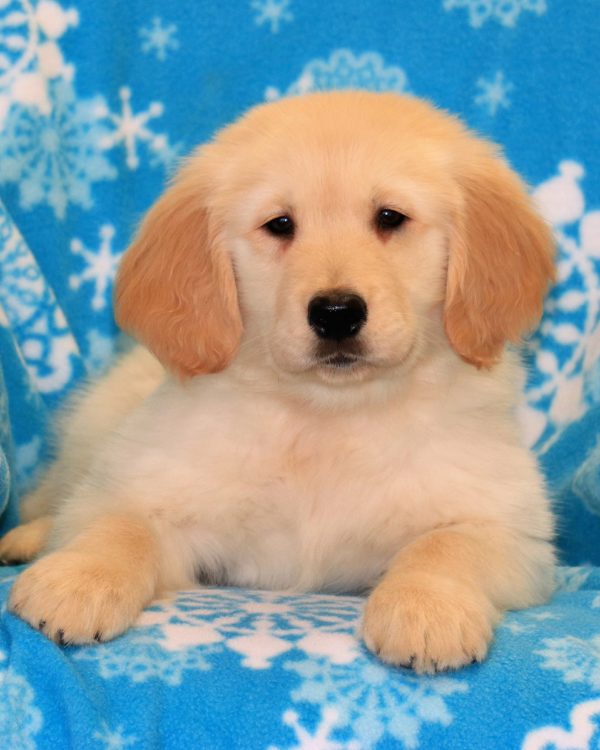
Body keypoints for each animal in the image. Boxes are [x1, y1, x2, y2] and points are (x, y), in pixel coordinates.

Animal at [0, 92, 556, 676]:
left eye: (390, 217)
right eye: (280, 224)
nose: (336, 313)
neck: (327, 418)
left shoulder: (513, 533)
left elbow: (444, 546)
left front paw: (425, 611)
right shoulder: (142, 487)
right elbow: (120, 525)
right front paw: (76, 580)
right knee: (55, 495)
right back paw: (27, 539)